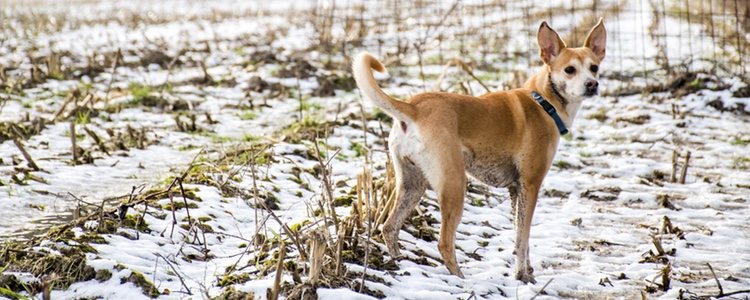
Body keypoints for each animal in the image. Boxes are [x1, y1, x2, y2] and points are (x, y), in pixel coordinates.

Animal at [356, 19, 608, 284]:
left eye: (594, 67)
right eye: (570, 70)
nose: (592, 84)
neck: (544, 101)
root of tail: (414, 107)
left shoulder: (516, 190)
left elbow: (521, 237)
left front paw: (527, 270)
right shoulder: (530, 184)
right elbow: (523, 238)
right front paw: (522, 276)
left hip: (412, 184)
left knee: (389, 227)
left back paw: (398, 263)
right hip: (454, 184)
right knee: (444, 242)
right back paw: (460, 278)